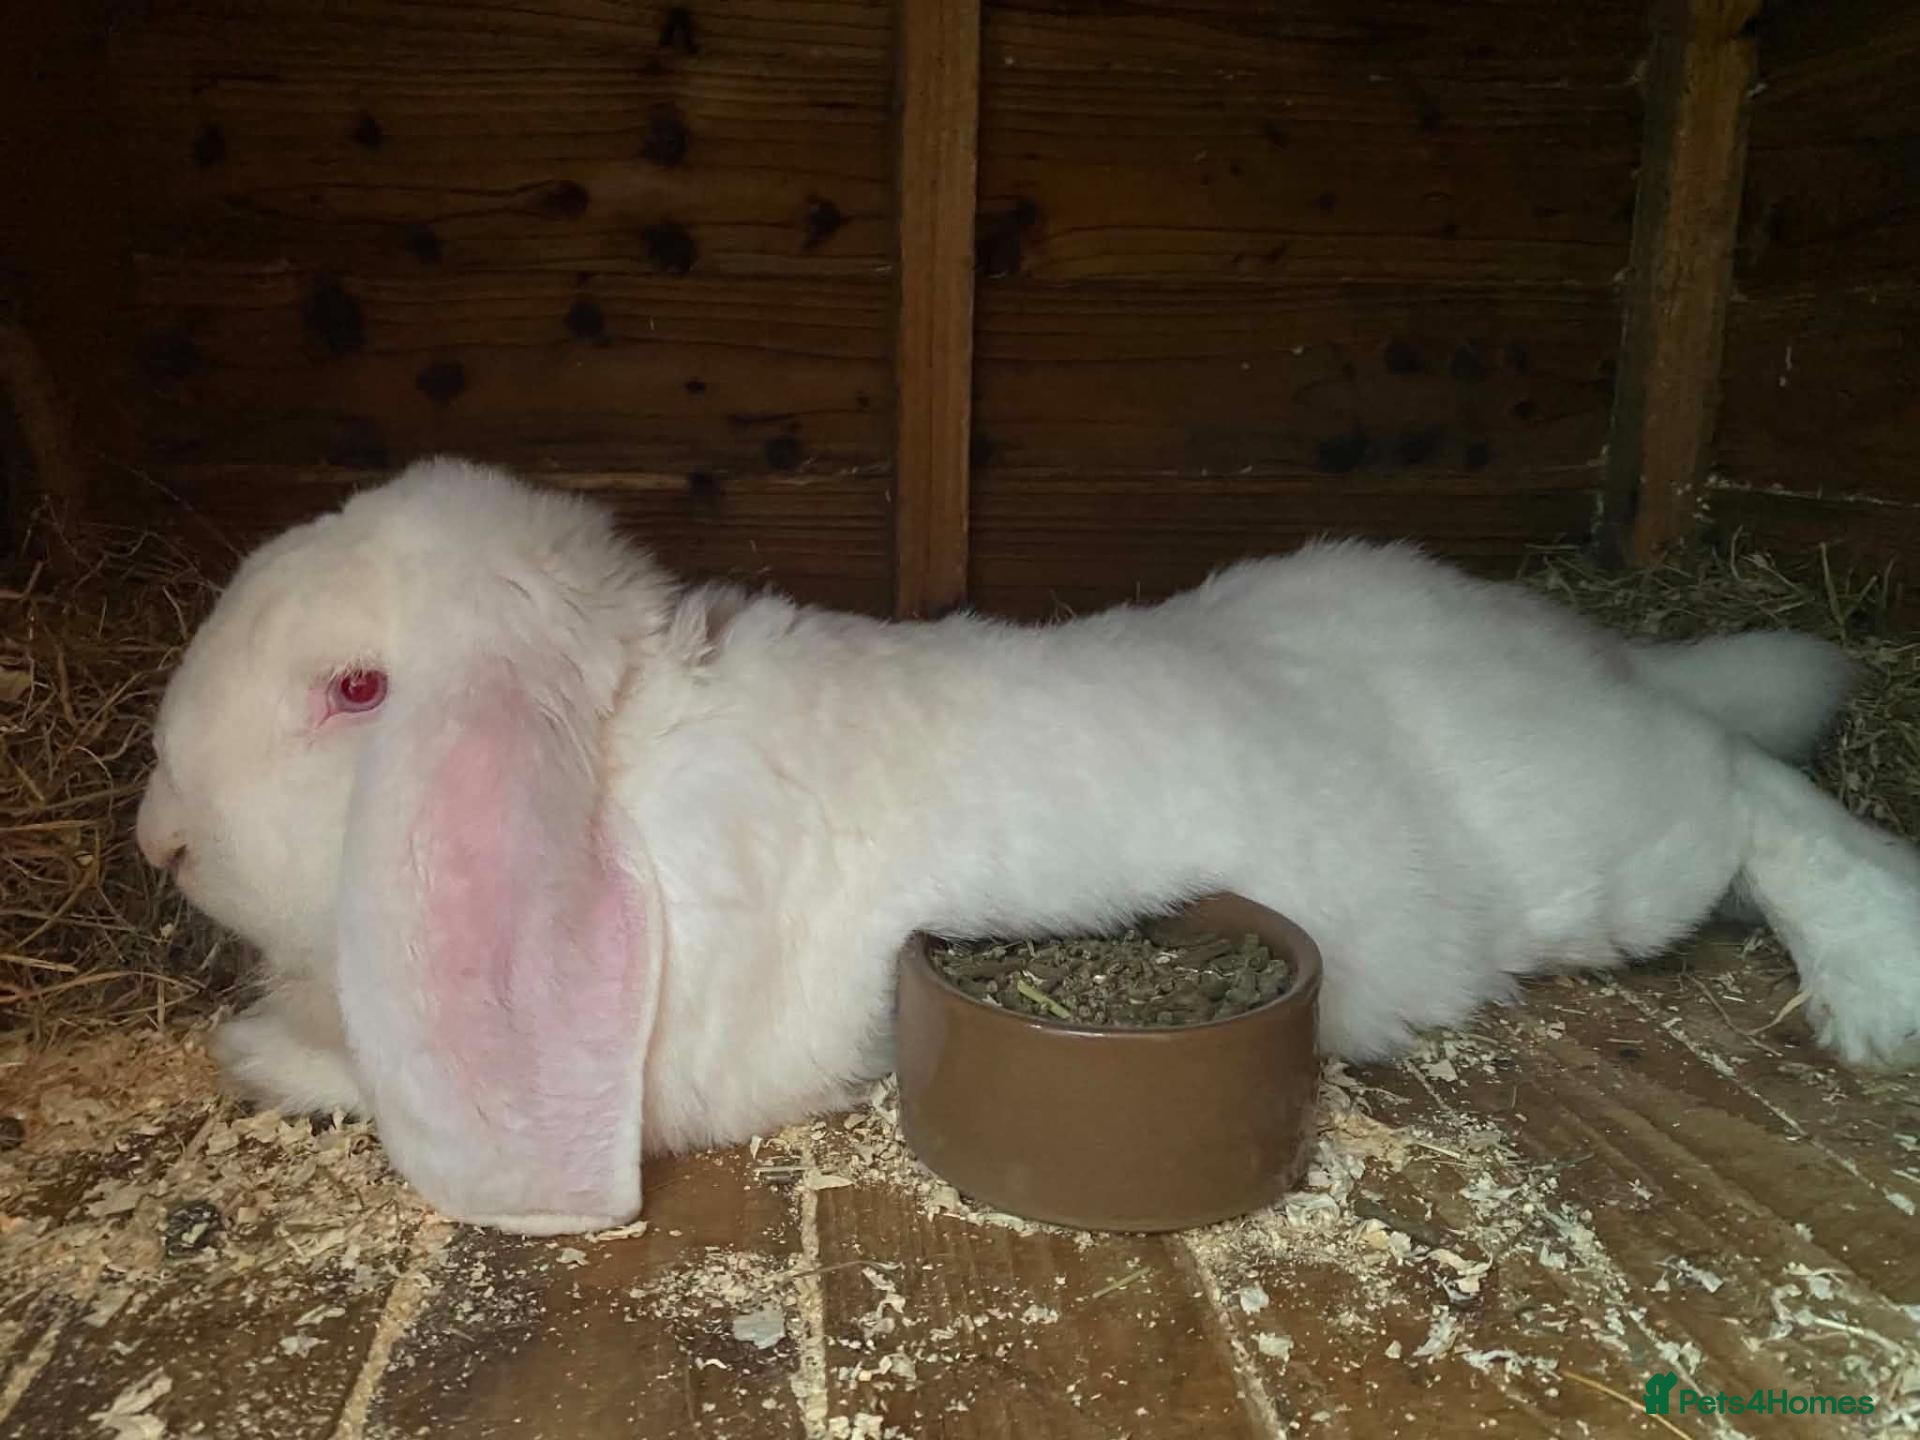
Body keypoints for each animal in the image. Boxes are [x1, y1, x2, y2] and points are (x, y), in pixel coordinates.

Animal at [136, 457, 1920, 1233]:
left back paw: (1872, 984)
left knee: (1753, 800)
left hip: (1615, 852)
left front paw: (256, 1047)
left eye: (354, 692)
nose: (157, 838)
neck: (624, 763)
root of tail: (1582, 654)